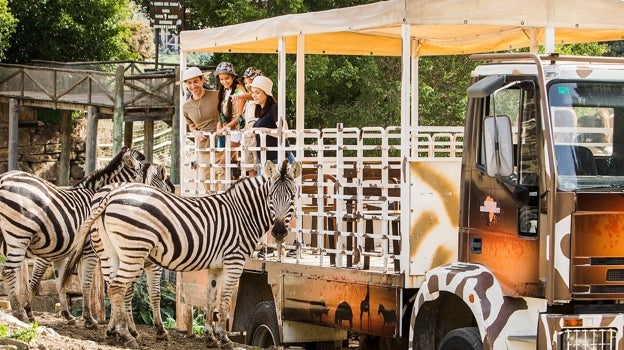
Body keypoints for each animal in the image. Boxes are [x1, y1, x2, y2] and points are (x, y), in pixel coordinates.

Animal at [0, 145, 146, 322]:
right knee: (8, 271)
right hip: (19, 234)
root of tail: (4, 178)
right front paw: (89, 319)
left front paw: (67, 314)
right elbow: (85, 283)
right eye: (141, 174)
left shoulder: (60, 252)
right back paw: (19, 312)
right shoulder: (88, 249)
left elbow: (60, 281)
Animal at [61, 160, 302, 348]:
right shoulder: (234, 261)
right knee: (118, 287)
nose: (279, 232)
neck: (242, 214)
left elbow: (211, 299)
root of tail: (109, 196)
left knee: (113, 286)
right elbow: (224, 300)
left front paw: (210, 338)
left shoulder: (215, 266)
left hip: (112, 251)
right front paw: (224, 339)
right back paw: (126, 336)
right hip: (134, 249)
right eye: (271, 197)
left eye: (292, 197)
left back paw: (116, 332)